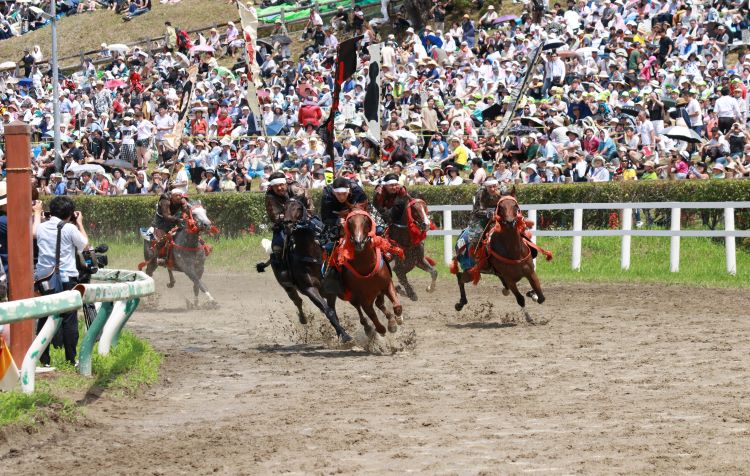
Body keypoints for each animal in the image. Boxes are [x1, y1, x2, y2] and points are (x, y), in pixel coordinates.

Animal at [266, 197, 354, 342]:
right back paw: (303, 319)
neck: (311, 256)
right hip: (287, 286)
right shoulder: (310, 289)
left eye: (298, 208)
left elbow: (332, 311)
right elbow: (329, 311)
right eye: (284, 208)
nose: (287, 224)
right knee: (297, 300)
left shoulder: (331, 289)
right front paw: (345, 336)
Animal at [452, 190, 552, 320]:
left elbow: (541, 297)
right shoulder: (509, 279)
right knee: (460, 278)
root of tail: (462, 234)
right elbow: (520, 299)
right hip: (471, 271)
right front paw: (528, 318)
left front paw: (532, 294)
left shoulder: (530, 272)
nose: (510, 222)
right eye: (501, 207)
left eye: (515, 206)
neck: (514, 251)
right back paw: (460, 303)